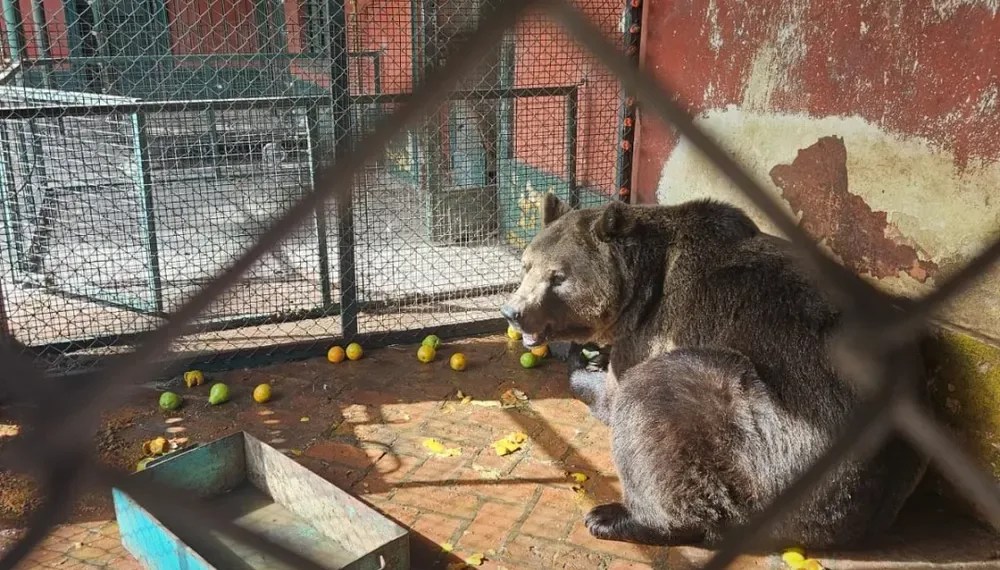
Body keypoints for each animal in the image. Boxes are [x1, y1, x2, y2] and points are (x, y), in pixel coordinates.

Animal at [500, 194, 930, 549]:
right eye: (526, 266)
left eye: (558, 276)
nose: (513, 311)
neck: (641, 288)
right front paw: (585, 354)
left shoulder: (653, 330)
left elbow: (615, 394)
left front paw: (582, 365)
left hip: (772, 442)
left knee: (657, 398)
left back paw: (617, 517)